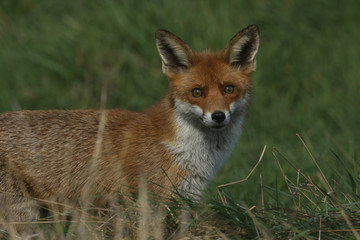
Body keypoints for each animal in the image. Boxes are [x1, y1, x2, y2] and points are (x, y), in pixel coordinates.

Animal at [0, 25, 258, 232]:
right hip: (23, 219)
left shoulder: (184, 201)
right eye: (197, 92)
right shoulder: (152, 203)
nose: (218, 116)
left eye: (228, 89)